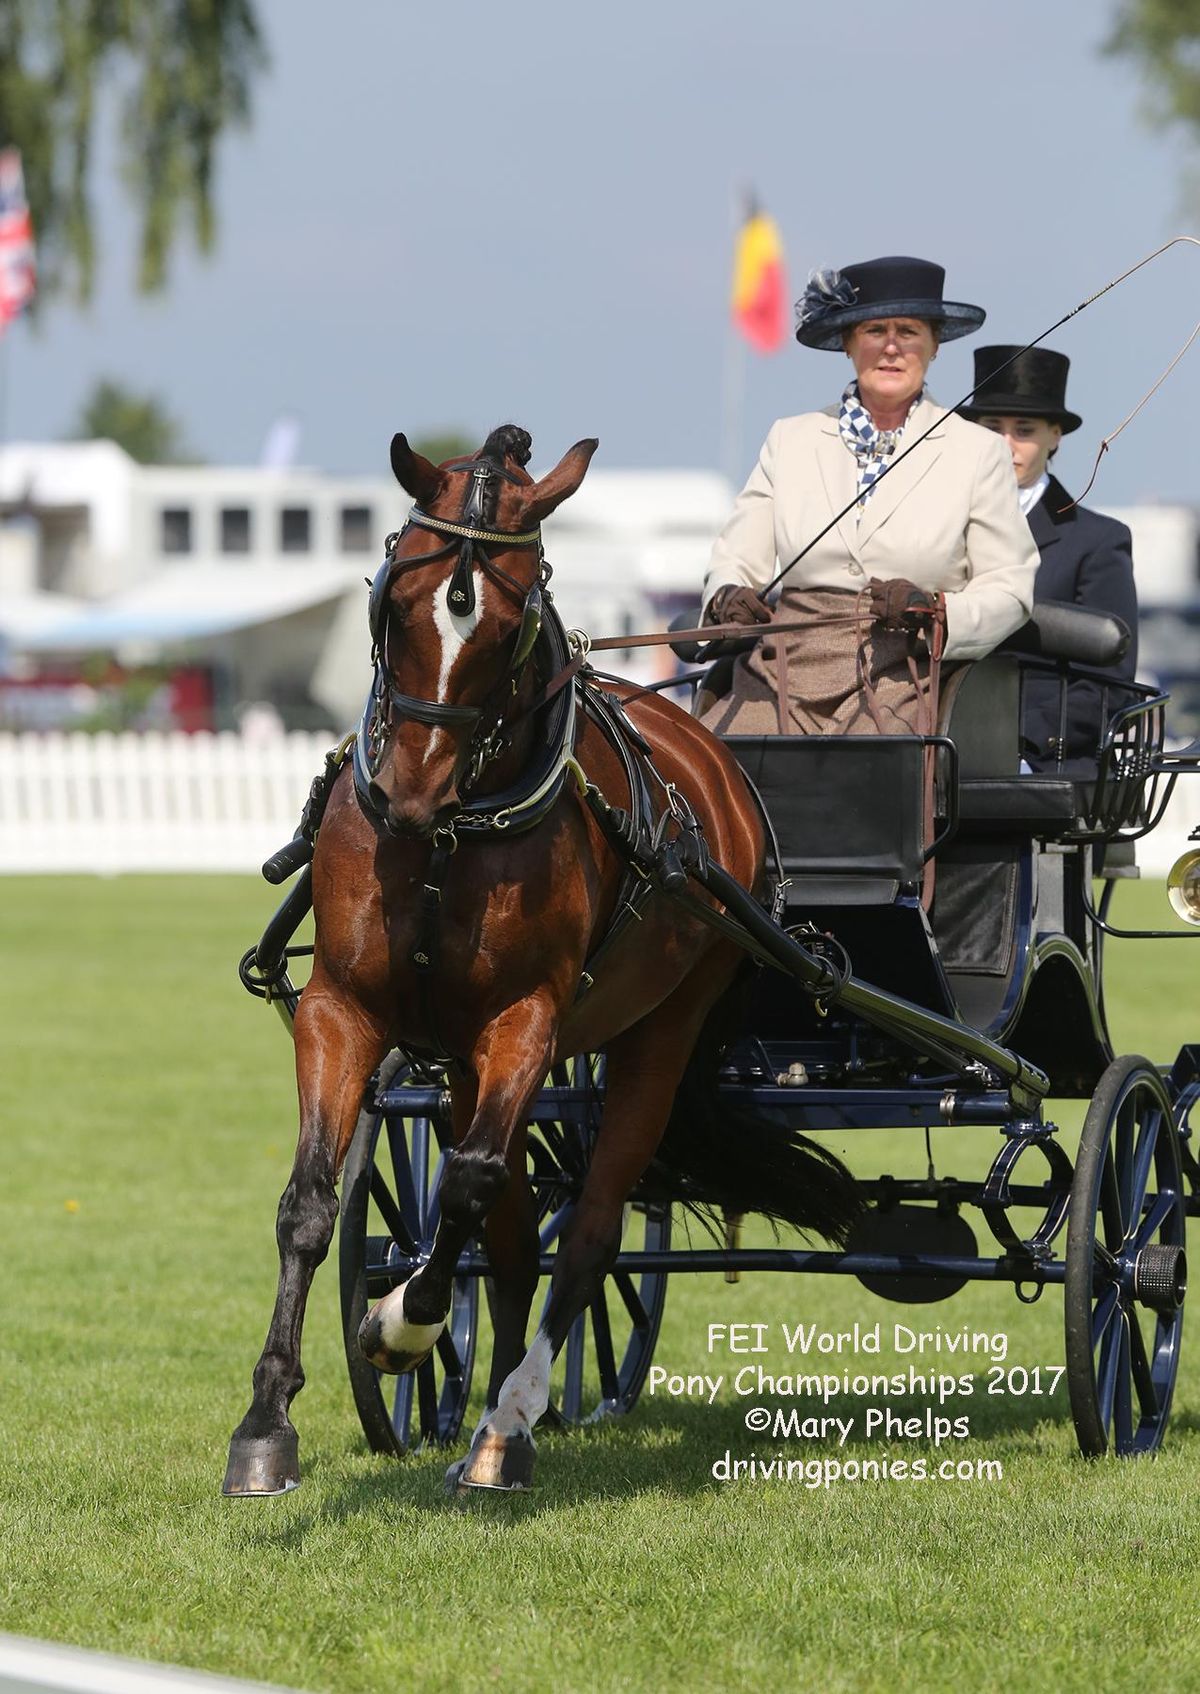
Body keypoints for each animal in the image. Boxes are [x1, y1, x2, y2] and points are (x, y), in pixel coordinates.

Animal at [222, 423, 861, 1497]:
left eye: (512, 622)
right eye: (396, 594)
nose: (408, 795)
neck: (454, 833)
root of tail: (711, 757)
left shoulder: (525, 1018)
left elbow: (471, 1187)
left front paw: (401, 1325)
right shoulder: (343, 1009)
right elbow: (312, 1203)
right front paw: (267, 1423)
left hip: (657, 1033)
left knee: (585, 1230)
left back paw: (507, 1421)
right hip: (471, 1061)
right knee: (520, 1238)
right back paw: (494, 1407)